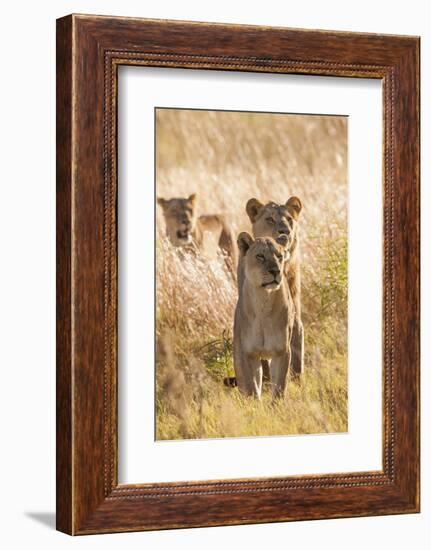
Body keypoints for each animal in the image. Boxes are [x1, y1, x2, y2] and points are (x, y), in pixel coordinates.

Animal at [235, 233, 296, 402]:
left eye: (280, 256)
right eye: (260, 256)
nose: (276, 271)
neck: (263, 301)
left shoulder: (282, 351)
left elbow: (280, 386)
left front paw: (276, 406)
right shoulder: (247, 354)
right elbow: (252, 389)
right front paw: (254, 406)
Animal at [241, 196, 306, 382]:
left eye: (289, 219)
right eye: (269, 219)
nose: (285, 232)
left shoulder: (292, 314)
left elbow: (296, 342)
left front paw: (297, 380)